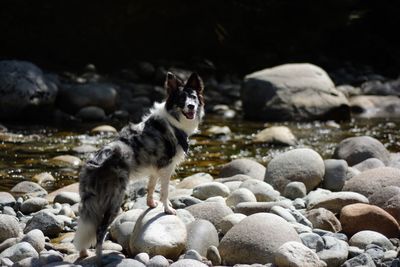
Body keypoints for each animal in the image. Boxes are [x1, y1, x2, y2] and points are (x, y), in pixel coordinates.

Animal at [73, 71, 205, 266]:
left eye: (194, 97)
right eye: (181, 99)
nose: (191, 106)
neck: (174, 121)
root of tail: (94, 163)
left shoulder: (155, 167)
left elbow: (151, 187)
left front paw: (151, 204)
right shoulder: (167, 167)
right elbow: (165, 192)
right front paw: (168, 210)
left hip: (92, 204)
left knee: (84, 226)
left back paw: (83, 253)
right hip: (113, 200)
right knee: (99, 231)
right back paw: (99, 259)